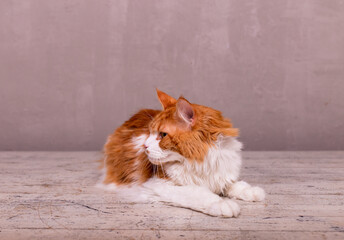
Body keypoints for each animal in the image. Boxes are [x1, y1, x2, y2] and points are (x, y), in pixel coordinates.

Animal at [98, 89, 264, 217]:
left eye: (163, 135)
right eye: (149, 132)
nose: (145, 146)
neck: (199, 162)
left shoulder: (220, 172)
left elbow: (234, 184)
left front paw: (252, 191)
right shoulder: (156, 185)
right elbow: (197, 192)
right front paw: (221, 203)